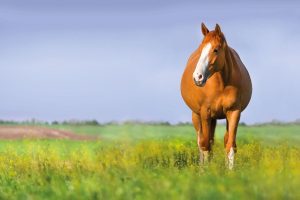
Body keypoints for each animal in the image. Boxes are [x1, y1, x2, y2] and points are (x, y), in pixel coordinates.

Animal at [182, 23, 252, 169]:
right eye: (201, 50)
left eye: (215, 50)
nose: (197, 77)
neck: (221, 84)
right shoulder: (205, 112)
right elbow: (205, 145)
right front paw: (206, 171)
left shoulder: (234, 112)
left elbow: (230, 144)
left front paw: (230, 170)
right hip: (196, 116)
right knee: (202, 142)